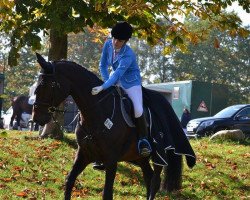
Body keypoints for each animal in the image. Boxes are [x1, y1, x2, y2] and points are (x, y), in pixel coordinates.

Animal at [32, 53, 196, 200]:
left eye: (49, 85)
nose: (36, 118)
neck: (97, 111)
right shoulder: (83, 154)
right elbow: (69, 181)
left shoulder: (111, 160)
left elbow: (107, 194)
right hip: (139, 158)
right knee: (148, 178)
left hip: (158, 155)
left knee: (155, 181)